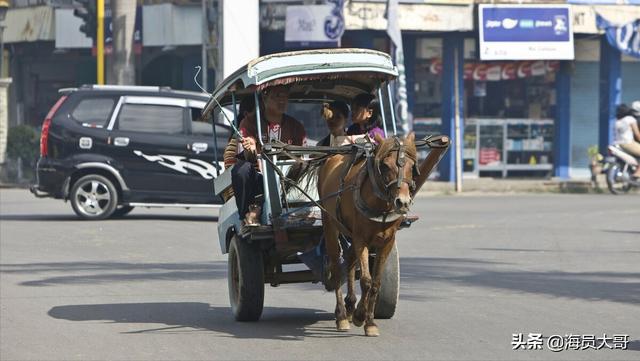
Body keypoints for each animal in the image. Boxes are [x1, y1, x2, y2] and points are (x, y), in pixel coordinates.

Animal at [316, 133, 418, 338]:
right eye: (385, 165)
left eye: (412, 166)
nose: (402, 202)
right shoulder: (361, 239)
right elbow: (366, 280)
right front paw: (360, 316)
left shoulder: (386, 241)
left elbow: (376, 282)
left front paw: (369, 321)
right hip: (330, 224)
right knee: (337, 267)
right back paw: (341, 316)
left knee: (349, 261)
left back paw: (349, 306)